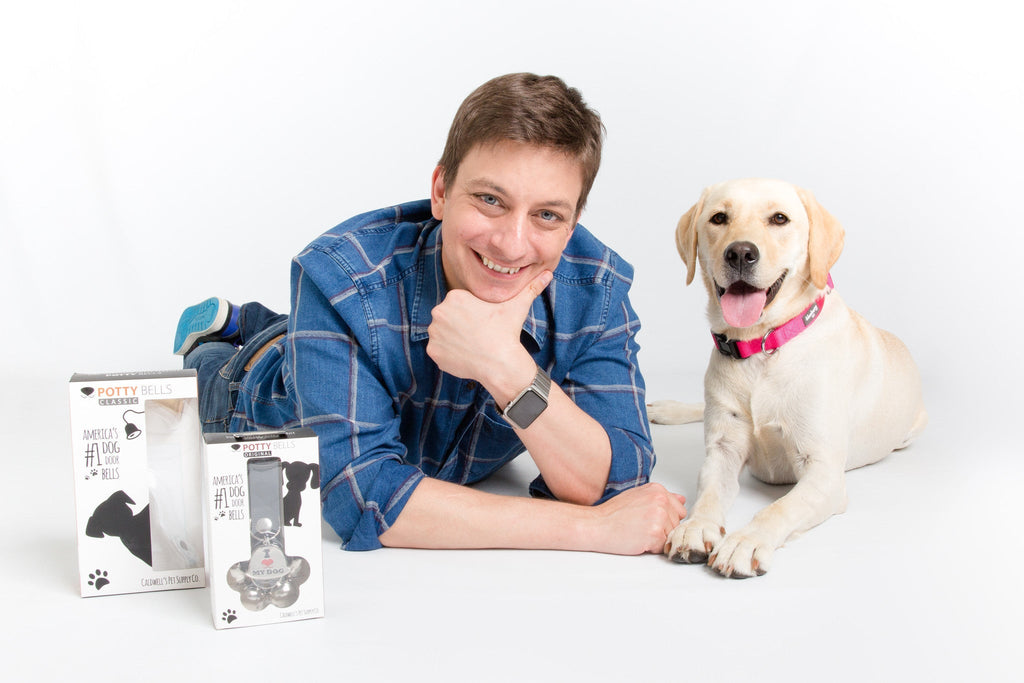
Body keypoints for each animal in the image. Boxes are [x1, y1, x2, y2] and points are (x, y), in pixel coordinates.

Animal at [647, 179, 929, 581]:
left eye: (779, 219)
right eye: (719, 218)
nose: (740, 253)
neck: (762, 347)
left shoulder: (823, 473)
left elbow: (778, 508)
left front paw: (745, 542)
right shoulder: (723, 450)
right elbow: (709, 494)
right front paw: (695, 528)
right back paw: (667, 409)